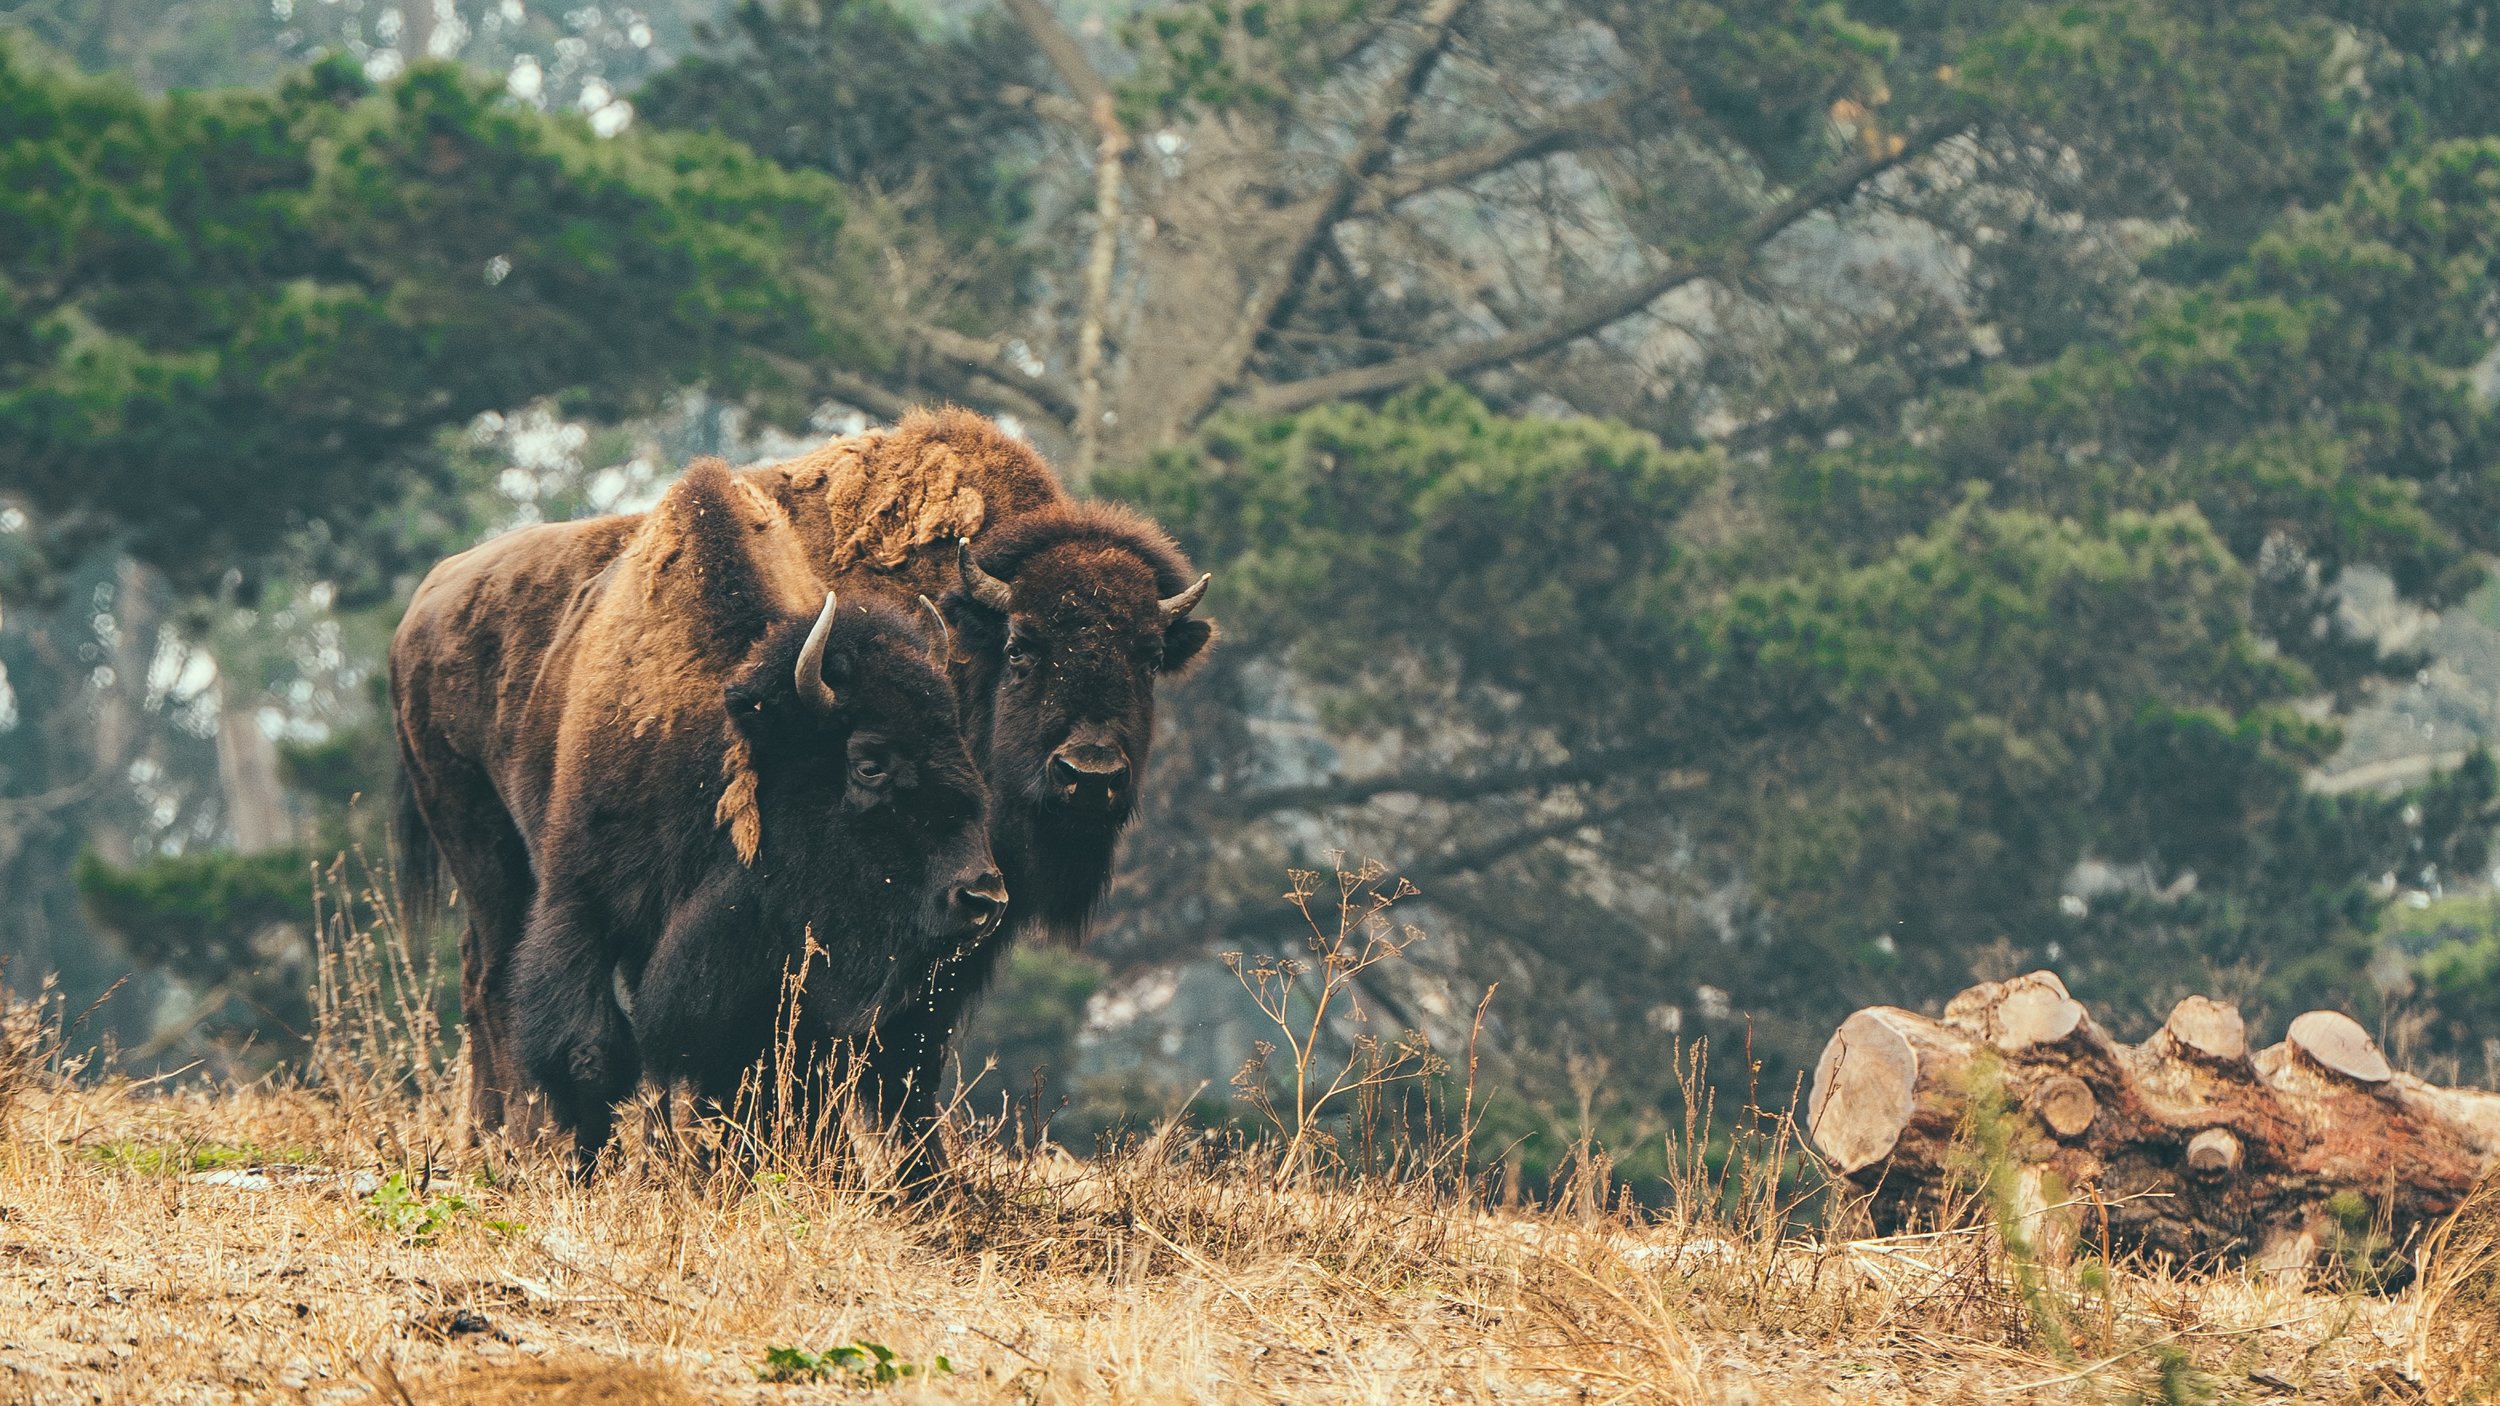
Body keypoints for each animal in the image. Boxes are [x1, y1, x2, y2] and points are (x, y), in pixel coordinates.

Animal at [395, 460, 1000, 1160]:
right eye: (868, 762)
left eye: (956, 742)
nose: (982, 897)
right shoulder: (584, 902)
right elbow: (589, 1051)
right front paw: (588, 1164)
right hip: (481, 849)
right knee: (489, 978)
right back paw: (502, 1136)